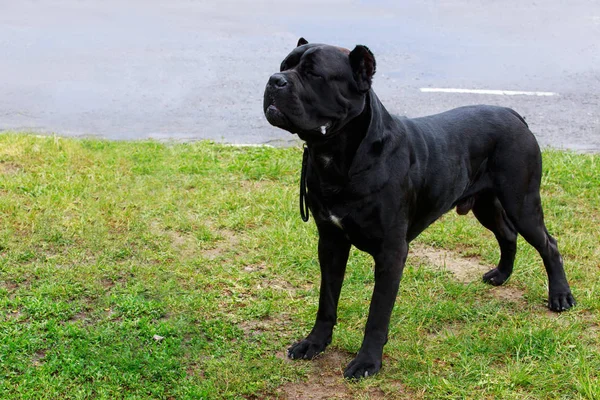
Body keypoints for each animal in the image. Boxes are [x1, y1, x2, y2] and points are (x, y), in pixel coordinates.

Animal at [262, 39, 576, 380]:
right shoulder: (331, 242)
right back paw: (501, 275)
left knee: (548, 244)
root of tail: (512, 113)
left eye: (314, 74)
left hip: (522, 202)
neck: (336, 156)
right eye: (284, 66)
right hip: (486, 203)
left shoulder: (391, 252)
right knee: (507, 234)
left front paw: (367, 362)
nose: (274, 80)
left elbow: (377, 313)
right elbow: (327, 300)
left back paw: (560, 296)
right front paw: (314, 343)